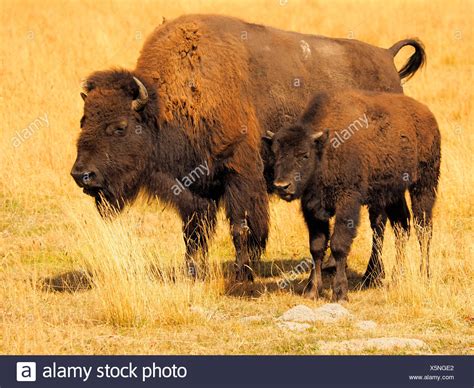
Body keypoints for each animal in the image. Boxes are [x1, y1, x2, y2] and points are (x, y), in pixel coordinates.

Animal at [70, 14, 426, 282]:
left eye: (119, 127)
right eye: (83, 120)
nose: (82, 175)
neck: (169, 104)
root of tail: (386, 57)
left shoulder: (240, 175)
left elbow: (242, 228)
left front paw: (243, 273)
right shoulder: (195, 188)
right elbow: (194, 233)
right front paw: (194, 273)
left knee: (381, 222)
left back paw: (372, 275)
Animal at [266, 91, 440, 304]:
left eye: (304, 155)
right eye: (274, 154)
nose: (281, 186)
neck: (326, 149)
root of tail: (428, 115)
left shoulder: (347, 203)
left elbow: (338, 245)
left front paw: (340, 293)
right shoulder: (311, 209)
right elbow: (316, 246)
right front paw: (312, 291)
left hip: (424, 185)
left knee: (423, 229)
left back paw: (425, 275)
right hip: (394, 193)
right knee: (402, 228)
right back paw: (397, 278)